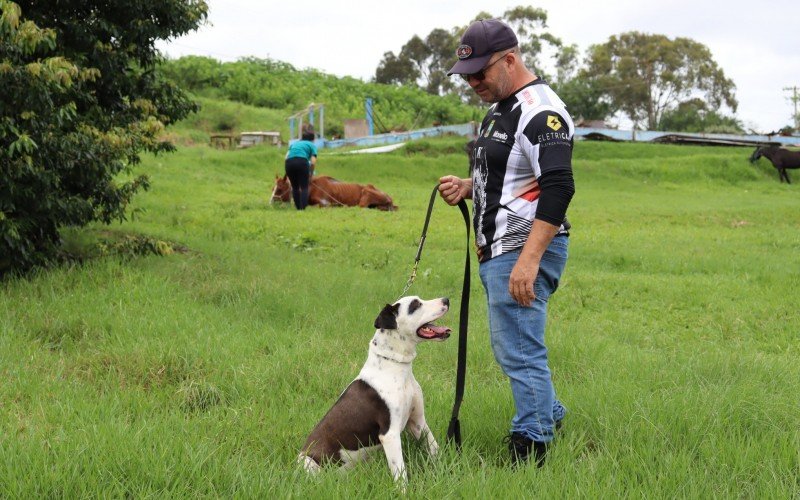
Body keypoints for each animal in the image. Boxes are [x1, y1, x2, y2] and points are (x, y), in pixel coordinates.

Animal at [270, 174, 398, 211]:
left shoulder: (325, 203)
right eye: (272, 188)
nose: (271, 202)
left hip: (365, 195)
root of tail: (390, 198)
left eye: (279, 188)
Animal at [298, 294, 450, 486]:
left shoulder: (417, 422)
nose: (446, 300)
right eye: (415, 305)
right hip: (309, 463)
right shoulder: (389, 434)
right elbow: (400, 474)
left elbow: (434, 449)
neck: (395, 366)